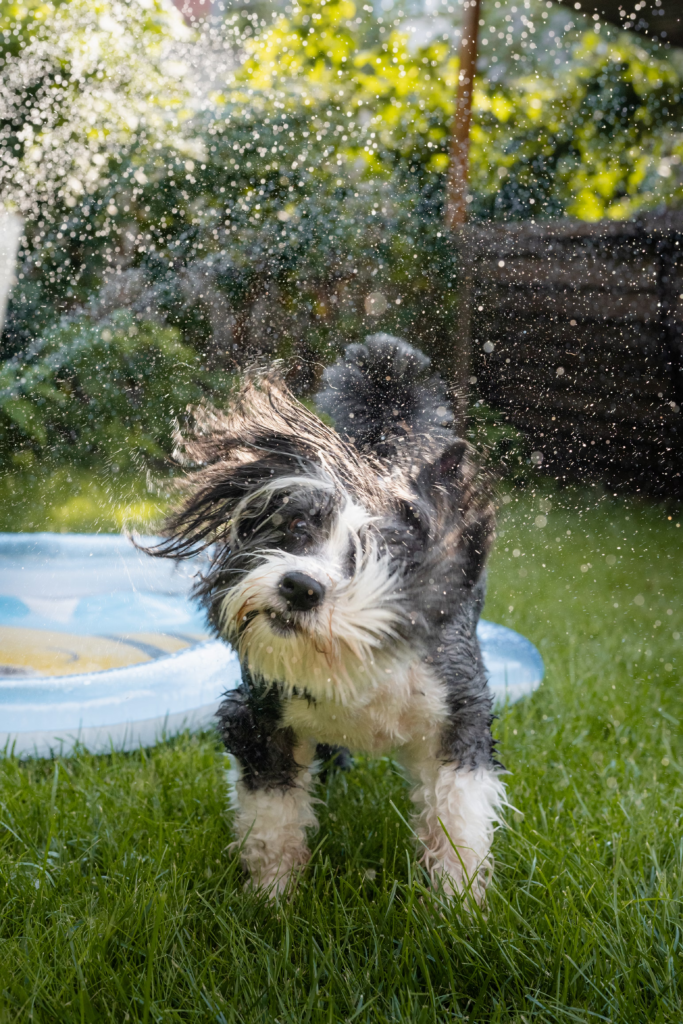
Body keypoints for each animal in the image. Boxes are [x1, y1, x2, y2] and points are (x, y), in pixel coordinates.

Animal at [149, 335, 505, 905]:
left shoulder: (459, 711)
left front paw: (458, 904)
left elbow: (457, 817)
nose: (300, 586)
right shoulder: (261, 718)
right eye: (297, 525)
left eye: (379, 558)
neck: (351, 660)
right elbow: (273, 819)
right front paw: (273, 899)